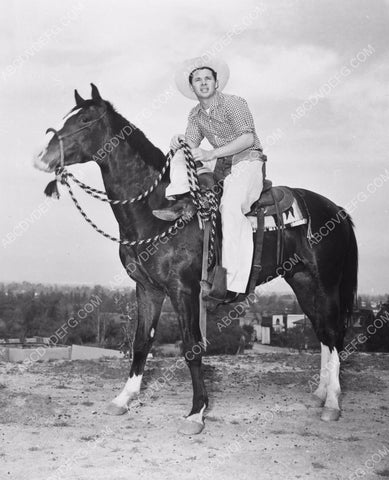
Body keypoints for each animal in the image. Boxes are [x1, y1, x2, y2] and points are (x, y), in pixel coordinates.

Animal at [34, 84, 356, 434]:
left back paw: (333, 403)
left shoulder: (183, 290)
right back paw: (320, 394)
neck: (157, 211)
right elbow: (141, 342)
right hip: (302, 282)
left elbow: (191, 346)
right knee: (323, 333)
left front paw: (196, 412)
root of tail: (336, 210)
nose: (41, 158)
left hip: (326, 283)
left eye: (85, 120)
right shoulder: (147, 289)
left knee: (334, 334)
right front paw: (124, 399)